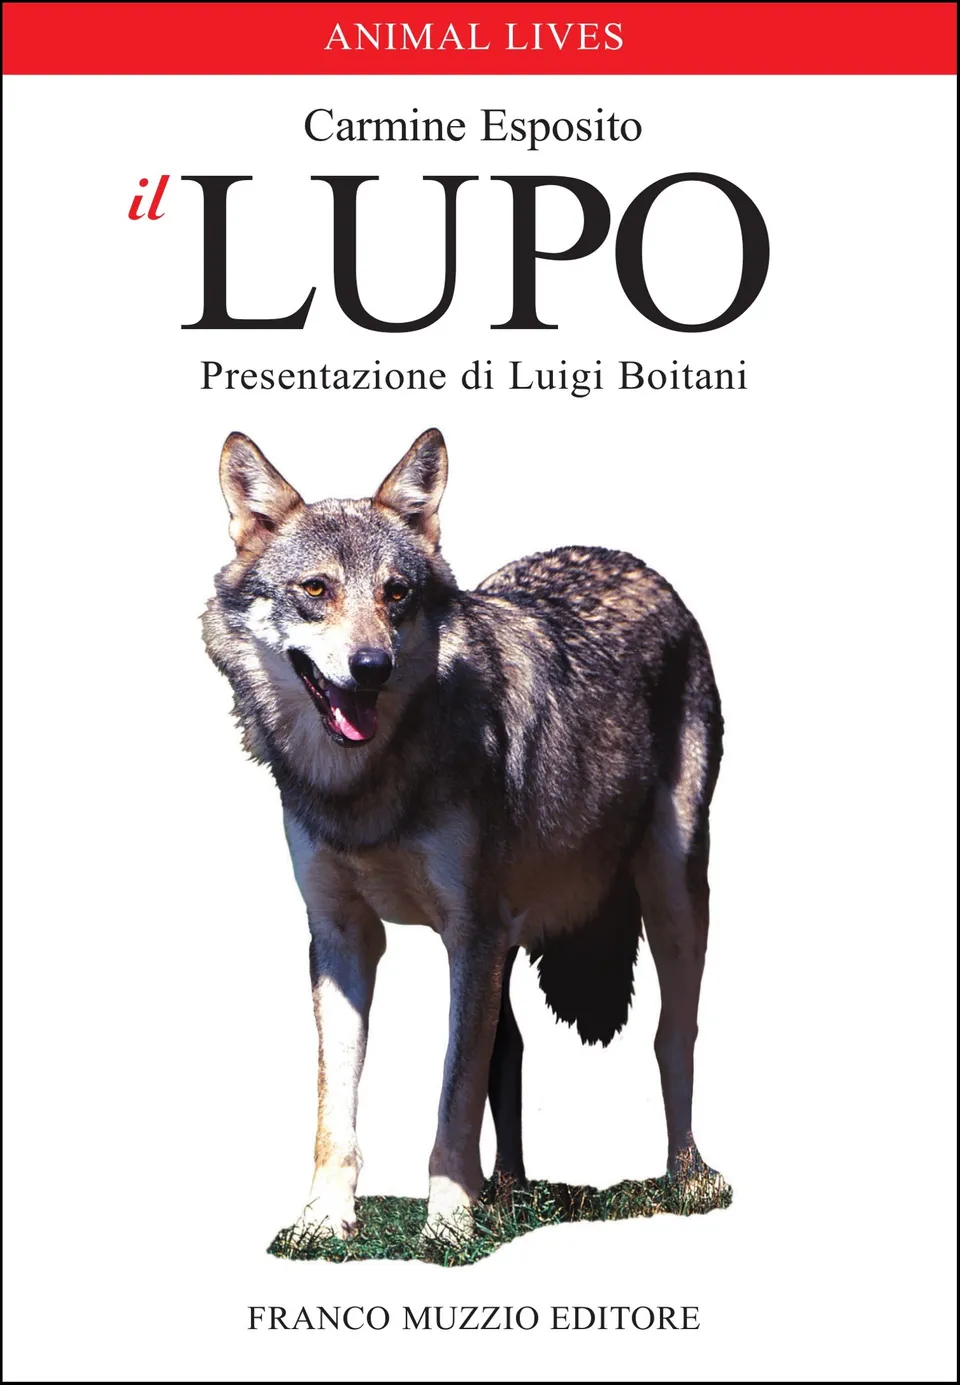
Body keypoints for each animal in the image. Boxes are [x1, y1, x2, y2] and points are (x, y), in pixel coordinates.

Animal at [203, 427, 725, 1240]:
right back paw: (508, 1194)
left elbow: (453, 1096)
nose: (372, 666)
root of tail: (630, 560)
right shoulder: (343, 934)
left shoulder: (468, 932)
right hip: (511, 944)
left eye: (397, 594)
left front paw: (447, 1221)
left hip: (671, 898)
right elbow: (336, 1105)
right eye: (317, 590)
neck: (364, 788)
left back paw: (688, 1179)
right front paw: (324, 1219)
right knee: (508, 1050)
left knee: (673, 1036)